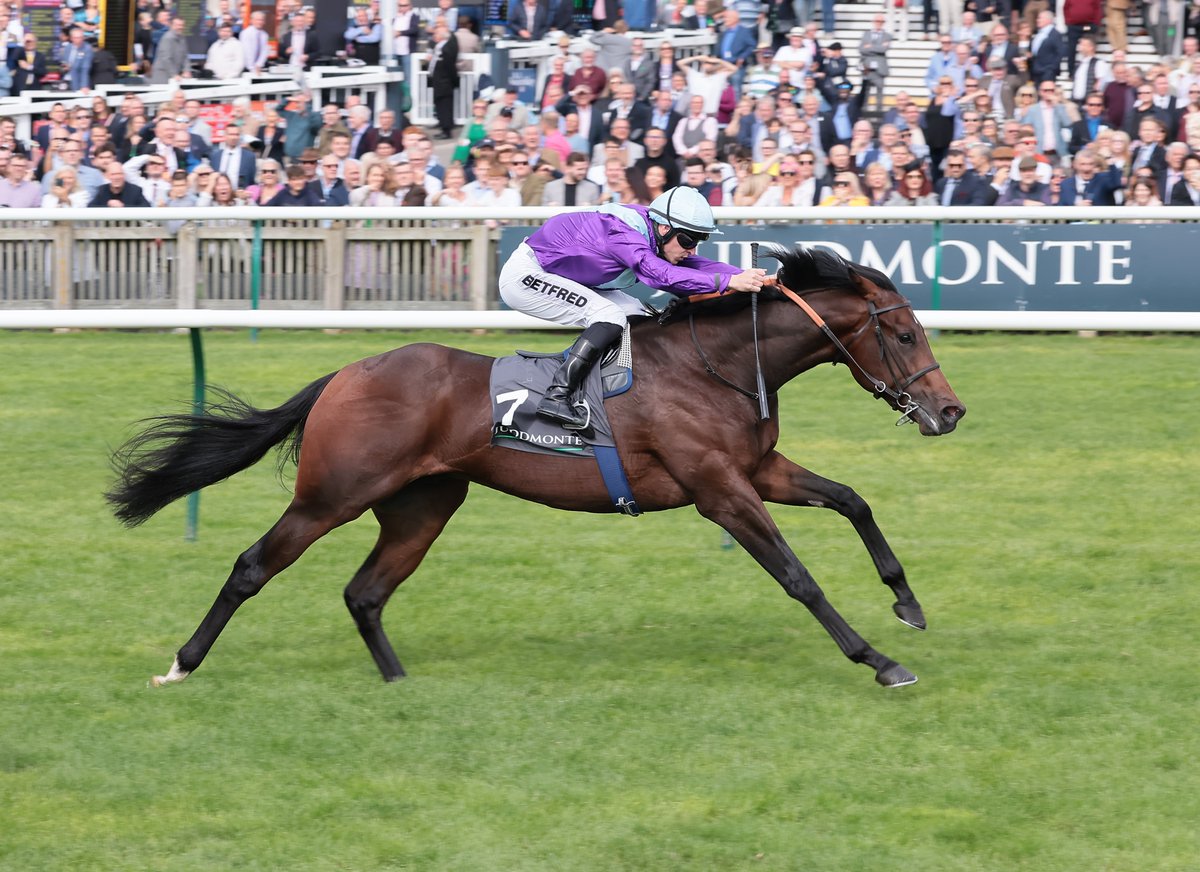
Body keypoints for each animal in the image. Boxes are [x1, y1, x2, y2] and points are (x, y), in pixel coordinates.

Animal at [107, 245, 965, 690]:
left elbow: (852, 500)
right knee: (254, 565)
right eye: (905, 334)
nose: (951, 411)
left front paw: (908, 606)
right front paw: (879, 661)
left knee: (365, 592)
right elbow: (798, 577)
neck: (717, 365)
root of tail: (346, 373)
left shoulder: (758, 470)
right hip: (332, 494)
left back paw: (399, 683)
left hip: (423, 505)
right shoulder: (720, 491)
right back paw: (181, 665)